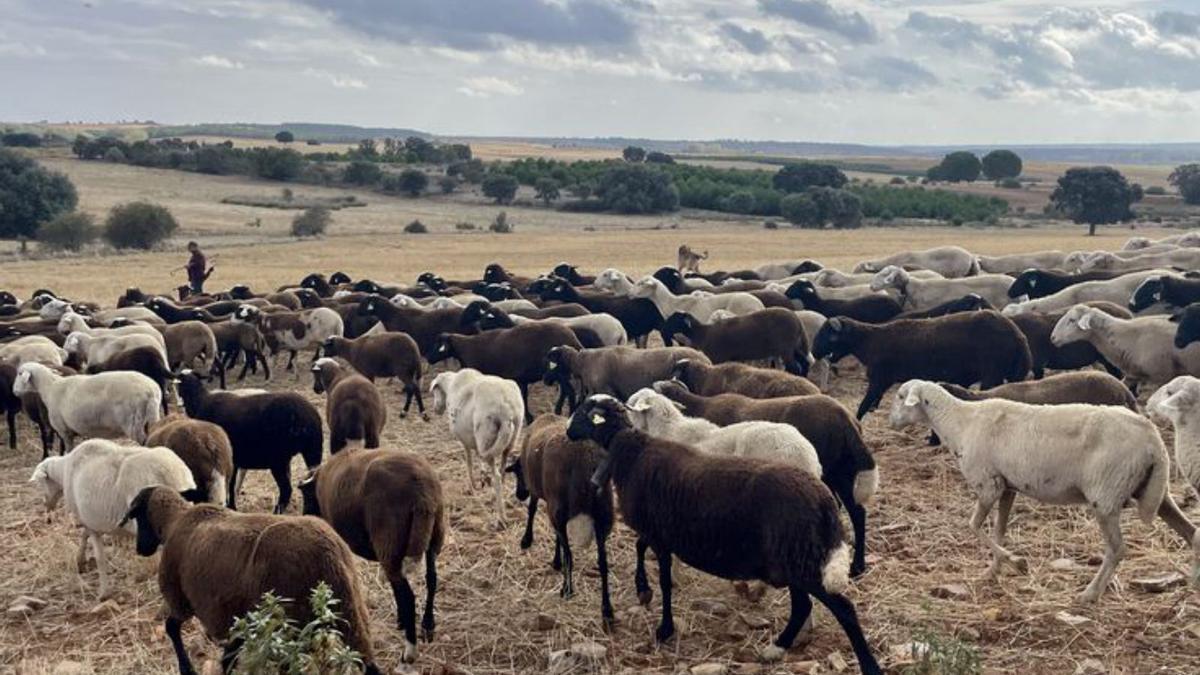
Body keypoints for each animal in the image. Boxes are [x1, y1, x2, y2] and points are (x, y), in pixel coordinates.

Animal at [12, 362, 162, 446]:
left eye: (19, 373)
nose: (14, 391)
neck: (50, 387)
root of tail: (151, 390)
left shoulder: (64, 430)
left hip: (132, 422)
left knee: (143, 440)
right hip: (149, 419)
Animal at [28, 439, 194, 595]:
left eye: (41, 483)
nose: (46, 510)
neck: (64, 471)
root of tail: (170, 473)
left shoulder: (87, 519)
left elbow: (99, 556)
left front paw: (103, 592)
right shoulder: (90, 520)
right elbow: (84, 535)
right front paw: (80, 561)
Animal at [432, 365, 525, 528]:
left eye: (435, 390)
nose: (435, 409)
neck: (450, 386)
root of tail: (507, 409)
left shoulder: (465, 440)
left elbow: (469, 461)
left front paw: (473, 485)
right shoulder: (475, 441)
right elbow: (478, 459)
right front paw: (482, 477)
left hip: (485, 435)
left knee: (497, 476)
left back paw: (500, 518)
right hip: (507, 440)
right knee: (502, 472)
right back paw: (495, 500)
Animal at [897, 379, 1176, 598]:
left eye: (900, 397)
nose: (892, 421)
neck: (959, 421)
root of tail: (1154, 440)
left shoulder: (987, 484)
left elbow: (973, 526)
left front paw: (1017, 562)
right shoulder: (1007, 486)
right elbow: (999, 531)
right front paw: (994, 570)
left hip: (1106, 495)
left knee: (1117, 549)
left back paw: (1090, 594)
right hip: (1151, 493)